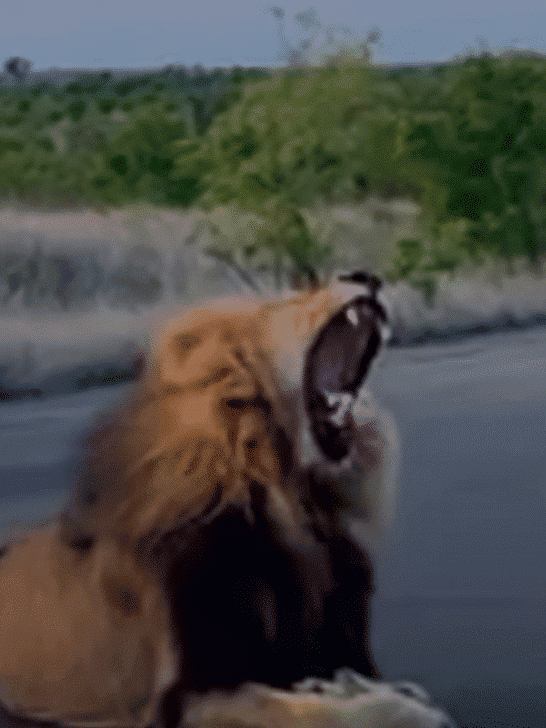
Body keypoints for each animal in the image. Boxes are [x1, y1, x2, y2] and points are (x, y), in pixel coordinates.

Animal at [0, 272, 456, 728]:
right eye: (286, 300)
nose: (366, 277)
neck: (291, 502)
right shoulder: (181, 699)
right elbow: (307, 708)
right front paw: (405, 708)